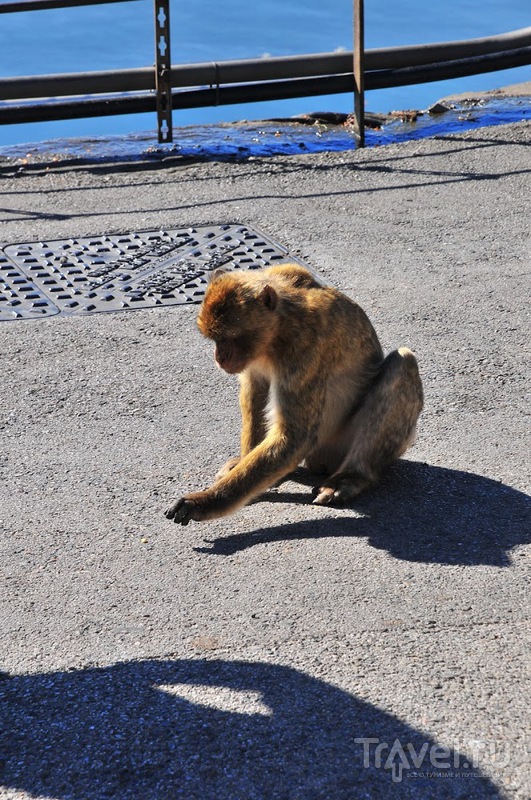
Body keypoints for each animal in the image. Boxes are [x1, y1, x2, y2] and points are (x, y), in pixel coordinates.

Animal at [166, 262, 424, 524]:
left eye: (228, 337)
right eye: (215, 339)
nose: (219, 357)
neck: (278, 329)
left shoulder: (304, 349)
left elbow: (295, 437)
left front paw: (204, 501)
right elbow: (257, 389)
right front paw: (243, 462)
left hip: (342, 445)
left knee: (403, 363)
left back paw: (353, 476)